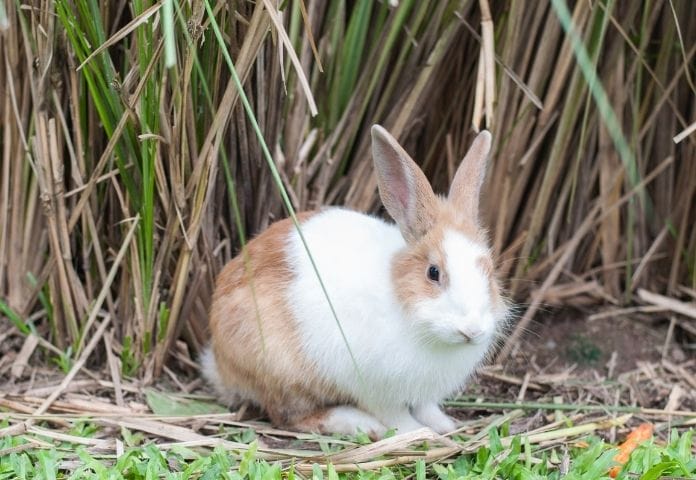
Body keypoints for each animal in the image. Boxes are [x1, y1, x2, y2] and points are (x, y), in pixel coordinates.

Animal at [201, 124, 506, 438]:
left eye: (489, 270)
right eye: (433, 272)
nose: (472, 330)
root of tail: (221, 364)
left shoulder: (422, 392)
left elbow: (426, 407)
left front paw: (444, 425)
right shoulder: (374, 388)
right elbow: (396, 416)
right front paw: (418, 433)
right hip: (282, 372)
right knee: (289, 417)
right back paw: (360, 423)